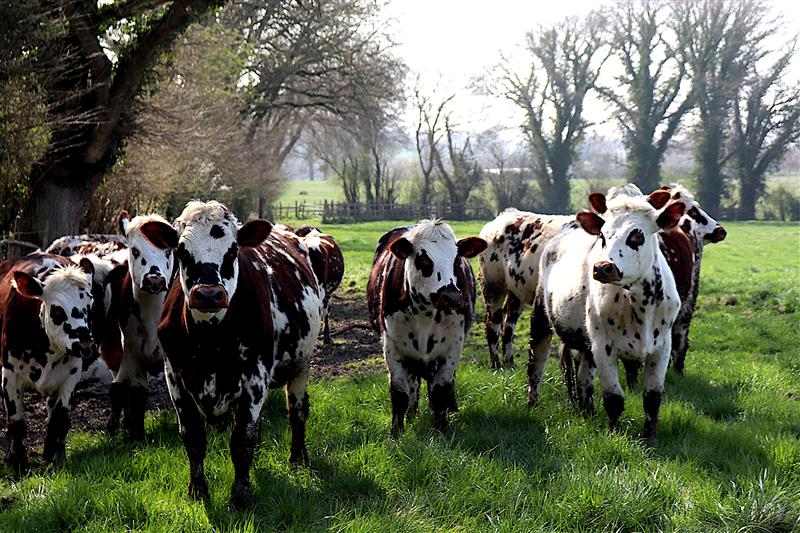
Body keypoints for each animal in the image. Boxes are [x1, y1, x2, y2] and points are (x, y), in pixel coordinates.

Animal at [0, 253, 96, 471]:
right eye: (58, 310)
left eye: (90, 305)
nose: (85, 345)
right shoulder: (9, 373)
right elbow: (16, 420)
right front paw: (17, 461)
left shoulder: (71, 374)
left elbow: (60, 417)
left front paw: (53, 455)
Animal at [157, 201, 321, 508]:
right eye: (181, 251)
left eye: (233, 250)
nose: (208, 295)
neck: (209, 339)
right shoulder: (174, 375)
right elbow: (193, 438)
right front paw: (197, 490)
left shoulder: (255, 375)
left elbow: (243, 439)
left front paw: (241, 495)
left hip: (302, 365)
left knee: (297, 412)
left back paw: (297, 458)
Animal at [367, 220, 486, 436]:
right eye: (423, 261)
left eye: (457, 260)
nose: (452, 297)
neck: (425, 313)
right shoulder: (392, 347)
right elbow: (399, 393)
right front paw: (397, 432)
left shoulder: (452, 348)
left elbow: (440, 391)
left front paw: (441, 429)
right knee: (413, 384)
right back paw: (412, 412)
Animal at [478, 209, 575, 369]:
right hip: (493, 285)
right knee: (492, 323)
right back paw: (496, 365)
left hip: (516, 291)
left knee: (508, 322)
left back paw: (509, 363)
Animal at [529, 191, 685, 440]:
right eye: (602, 235)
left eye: (636, 236)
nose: (602, 267)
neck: (639, 303)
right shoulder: (603, 346)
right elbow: (614, 398)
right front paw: (614, 434)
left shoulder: (662, 346)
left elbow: (652, 397)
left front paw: (650, 438)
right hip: (541, 318)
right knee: (537, 362)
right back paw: (532, 404)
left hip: (585, 344)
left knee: (583, 375)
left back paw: (588, 412)